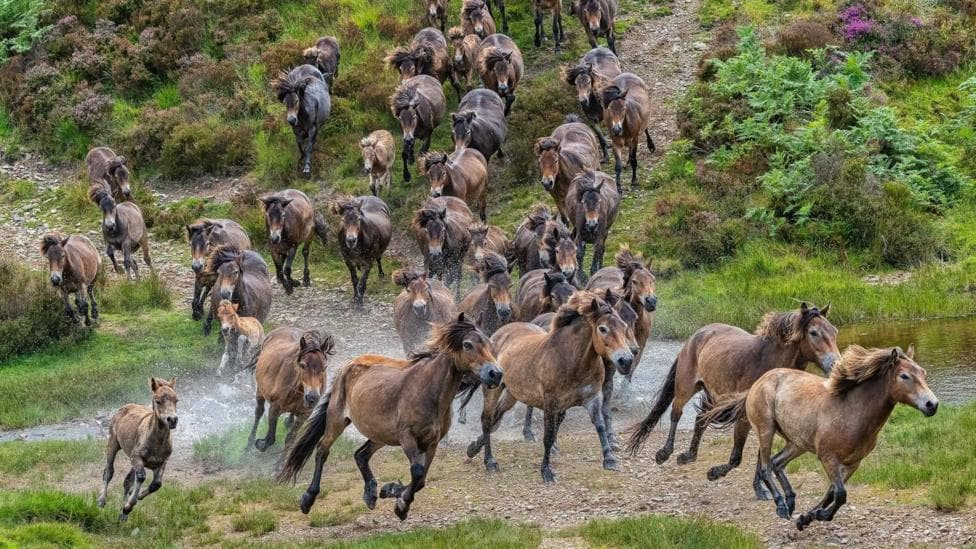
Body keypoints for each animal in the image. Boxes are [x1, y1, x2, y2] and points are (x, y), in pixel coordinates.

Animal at [97, 377, 178, 521]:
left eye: (176, 400)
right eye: (158, 401)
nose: (172, 420)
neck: (156, 442)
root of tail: (126, 406)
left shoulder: (162, 462)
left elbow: (156, 484)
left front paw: (133, 500)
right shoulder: (137, 458)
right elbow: (140, 477)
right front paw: (128, 506)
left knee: (127, 481)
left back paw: (122, 515)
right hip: (113, 443)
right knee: (108, 472)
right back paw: (102, 501)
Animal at [276, 314, 503, 520]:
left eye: (489, 343)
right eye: (467, 344)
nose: (496, 374)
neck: (429, 391)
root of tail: (347, 366)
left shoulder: (432, 443)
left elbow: (421, 479)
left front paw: (391, 491)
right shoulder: (407, 437)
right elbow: (418, 472)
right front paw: (400, 504)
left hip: (380, 434)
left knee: (361, 455)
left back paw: (370, 493)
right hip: (337, 421)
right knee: (322, 450)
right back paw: (308, 499)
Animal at [466, 291, 634, 480]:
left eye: (623, 326)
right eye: (602, 328)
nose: (626, 360)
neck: (572, 359)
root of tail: (498, 334)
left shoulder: (592, 398)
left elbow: (599, 425)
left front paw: (610, 459)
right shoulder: (550, 402)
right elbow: (548, 436)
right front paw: (546, 471)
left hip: (512, 394)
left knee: (497, 416)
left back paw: (473, 448)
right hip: (493, 389)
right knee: (487, 420)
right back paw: (489, 461)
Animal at [625, 303, 840, 487]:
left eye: (834, 331)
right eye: (813, 332)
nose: (835, 365)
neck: (769, 364)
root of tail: (698, 334)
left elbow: (762, 456)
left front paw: (760, 488)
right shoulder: (744, 416)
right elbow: (737, 457)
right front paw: (714, 473)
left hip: (713, 394)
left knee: (701, 419)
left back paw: (689, 456)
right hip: (686, 387)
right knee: (676, 414)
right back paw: (665, 453)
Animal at [703, 345, 938, 530]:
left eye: (923, 373)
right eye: (904, 376)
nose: (932, 405)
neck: (851, 412)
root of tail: (757, 383)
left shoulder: (853, 463)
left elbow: (832, 493)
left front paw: (806, 518)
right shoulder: (828, 458)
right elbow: (840, 493)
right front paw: (819, 515)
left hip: (797, 443)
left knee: (778, 463)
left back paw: (791, 502)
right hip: (765, 430)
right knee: (765, 468)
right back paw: (781, 506)